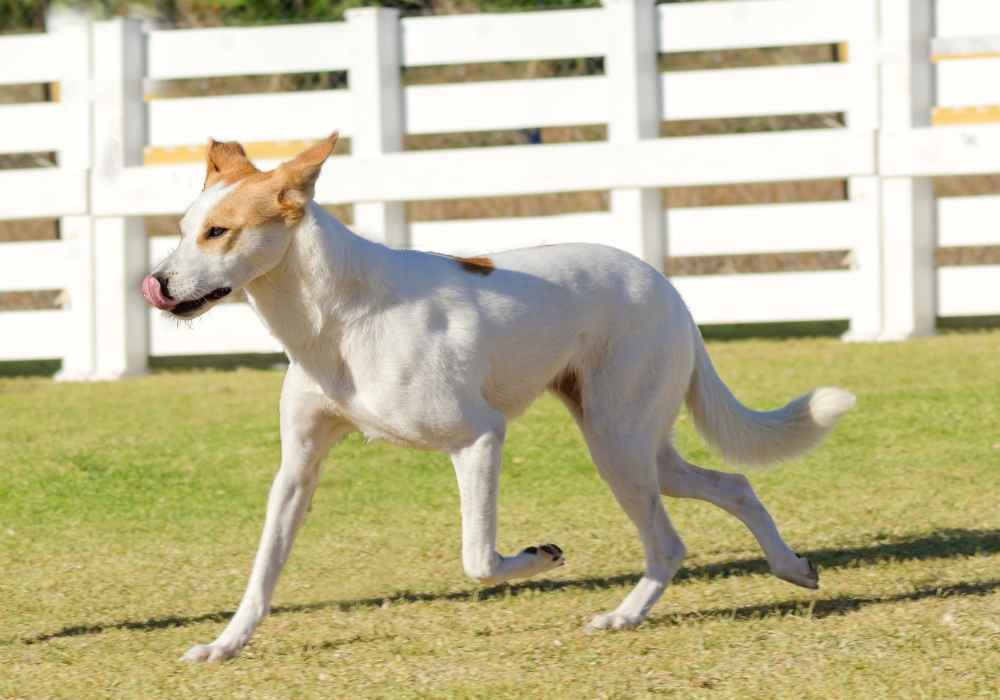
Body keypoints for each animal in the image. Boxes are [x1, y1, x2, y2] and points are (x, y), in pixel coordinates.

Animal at [143, 135, 852, 660]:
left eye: (219, 232)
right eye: (183, 228)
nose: (156, 283)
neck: (336, 317)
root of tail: (666, 286)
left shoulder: (479, 438)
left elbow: (478, 559)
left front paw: (540, 557)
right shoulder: (298, 467)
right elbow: (263, 570)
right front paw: (224, 646)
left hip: (617, 444)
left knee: (669, 542)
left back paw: (622, 617)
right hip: (639, 446)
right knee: (734, 485)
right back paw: (791, 569)